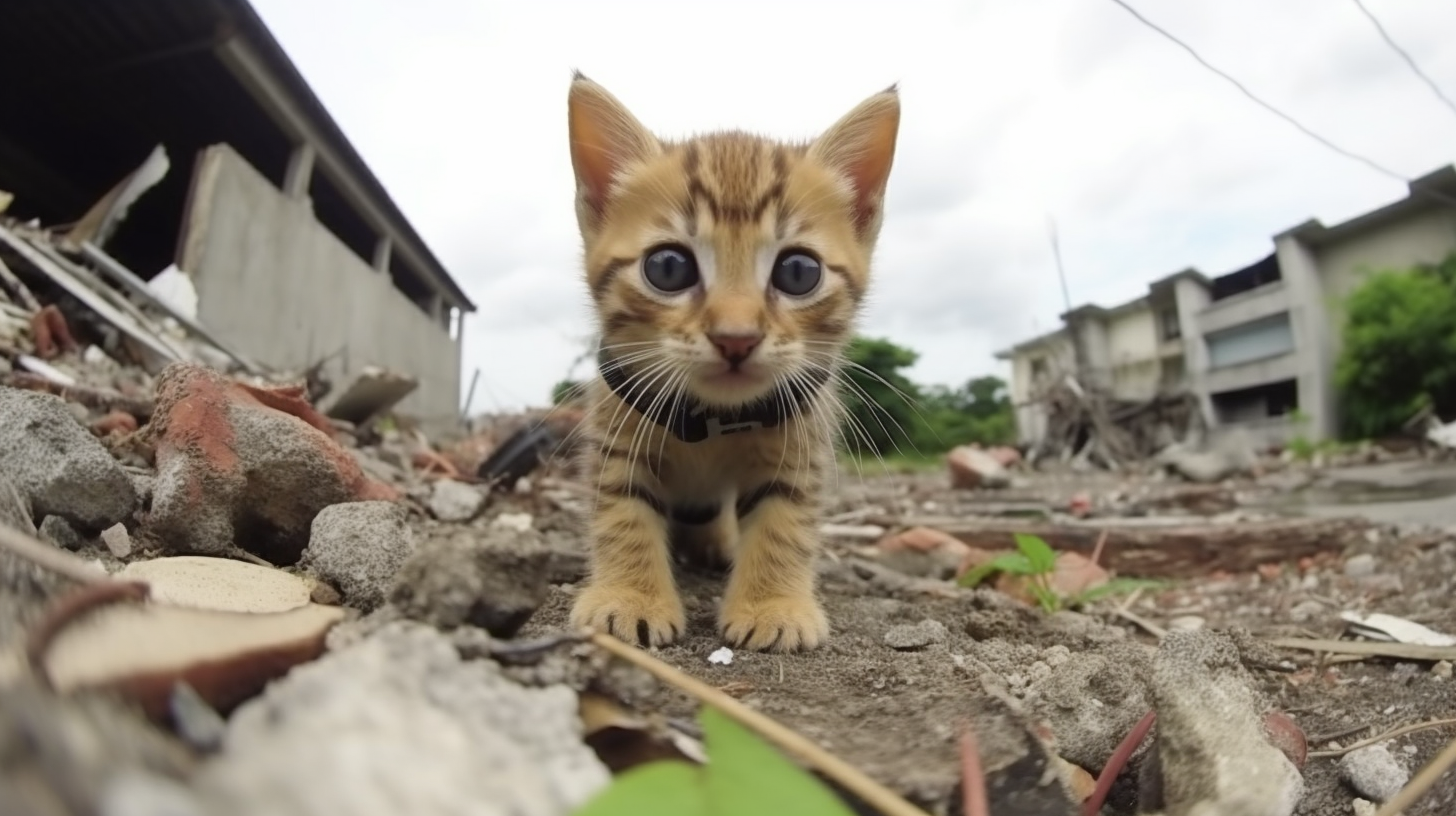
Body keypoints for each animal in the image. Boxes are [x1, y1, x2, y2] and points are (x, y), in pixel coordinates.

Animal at [559, 73, 891, 652]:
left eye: (799, 272)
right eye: (668, 267)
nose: (736, 338)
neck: (713, 416)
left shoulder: (800, 438)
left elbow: (785, 519)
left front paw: (773, 605)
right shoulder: (616, 426)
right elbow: (622, 511)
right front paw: (628, 597)